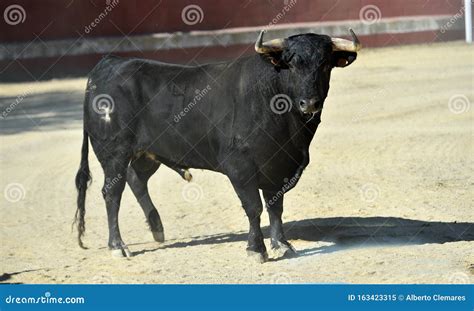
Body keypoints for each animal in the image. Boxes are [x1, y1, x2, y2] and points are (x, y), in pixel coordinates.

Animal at [74, 29, 360, 264]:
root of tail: (108, 64)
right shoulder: (240, 167)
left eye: (325, 64)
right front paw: (256, 249)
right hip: (114, 153)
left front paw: (282, 245)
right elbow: (254, 207)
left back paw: (157, 229)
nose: (309, 103)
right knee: (112, 193)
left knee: (136, 179)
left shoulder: (280, 166)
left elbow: (275, 207)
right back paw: (118, 246)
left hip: (149, 152)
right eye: (290, 64)